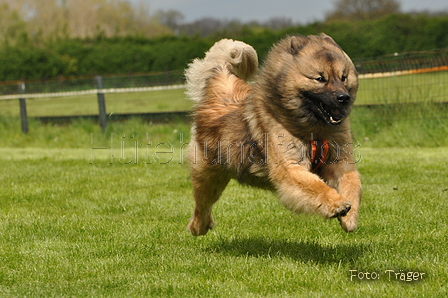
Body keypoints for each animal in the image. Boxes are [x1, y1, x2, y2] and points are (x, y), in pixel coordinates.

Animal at [184, 34, 362, 235]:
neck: (313, 129)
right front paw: (338, 205)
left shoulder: (340, 161)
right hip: (209, 176)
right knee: (202, 203)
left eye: (343, 77)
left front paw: (349, 217)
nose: (343, 97)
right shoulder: (290, 167)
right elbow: (316, 186)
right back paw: (199, 227)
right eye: (320, 78)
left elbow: (352, 183)